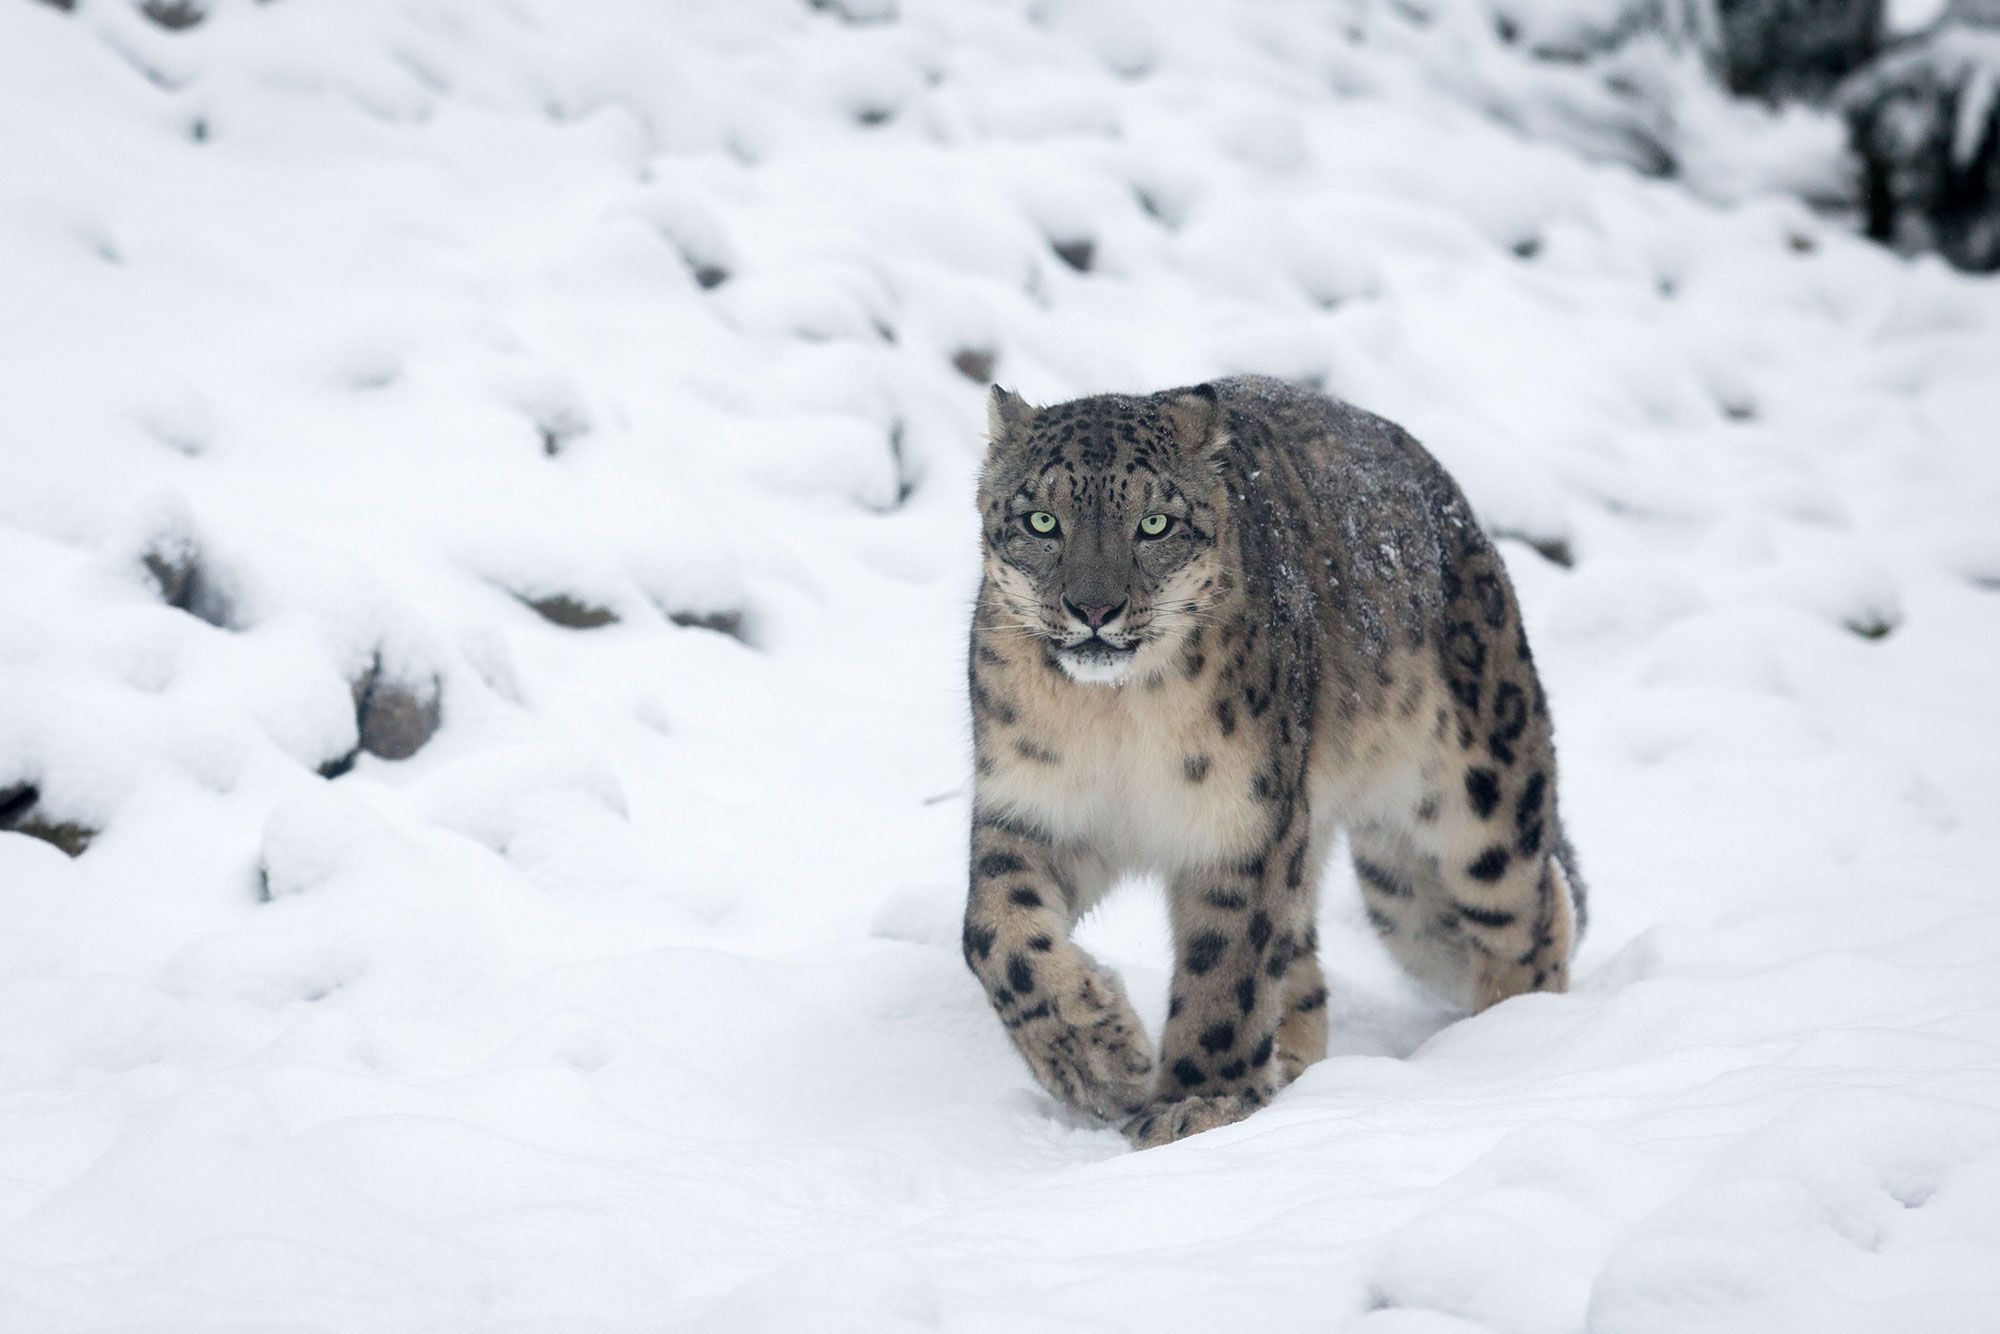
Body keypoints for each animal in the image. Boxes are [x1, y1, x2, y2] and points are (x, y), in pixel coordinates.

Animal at [960, 376, 1584, 1152]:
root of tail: (1457, 509)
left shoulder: (1243, 825)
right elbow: (996, 934)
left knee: (1527, 914)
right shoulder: (1032, 809)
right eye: (1042, 521)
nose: (1093, 608)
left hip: (1481, 795)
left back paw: (1515, 1046)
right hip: (1400, 890)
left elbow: (1225, 969)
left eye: (1155, 525)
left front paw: (1198, 1104)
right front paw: (1097, 1058)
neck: (1112, 719)